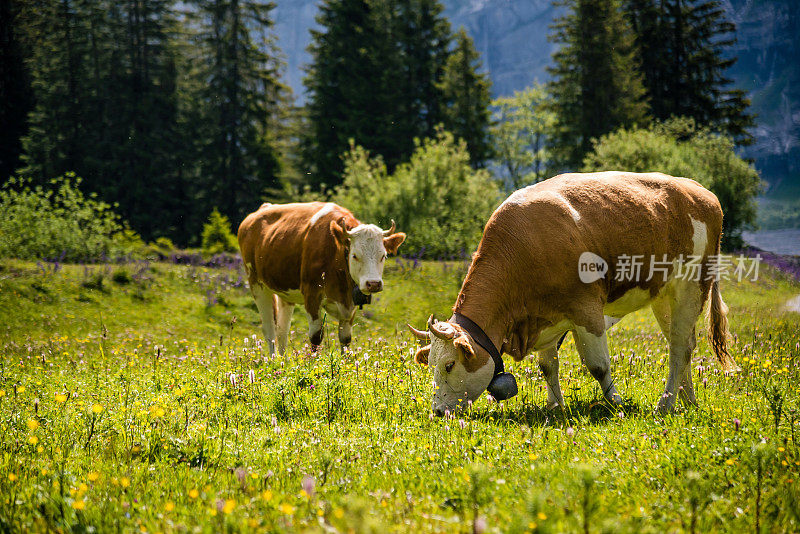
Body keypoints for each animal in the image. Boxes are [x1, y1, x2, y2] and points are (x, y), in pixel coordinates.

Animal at [234, 201, 404, 356]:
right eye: (355, 256)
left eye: (383, 256)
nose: (373, 284)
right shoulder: (312, 294)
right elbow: (316, 337)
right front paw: (312, 363)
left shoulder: (350, 304)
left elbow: (345, 339)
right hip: (257, 284)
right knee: (269, 329)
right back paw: (272, 360)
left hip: (285, 293)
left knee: (282, 330)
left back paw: (283, 362)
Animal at [410, 174, 740, 416]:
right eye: (431, 363)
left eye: (449, 365)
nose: (437, 411)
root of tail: (700, 191)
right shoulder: (545, 317)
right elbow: (547, 366)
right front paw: (555, 406)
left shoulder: (586, 309)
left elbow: (598, 365)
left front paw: (616, 403)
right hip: (664, 295)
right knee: (683, 343)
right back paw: (687, 400)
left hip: (692, 286)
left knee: (679, 348)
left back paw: (666, 403)